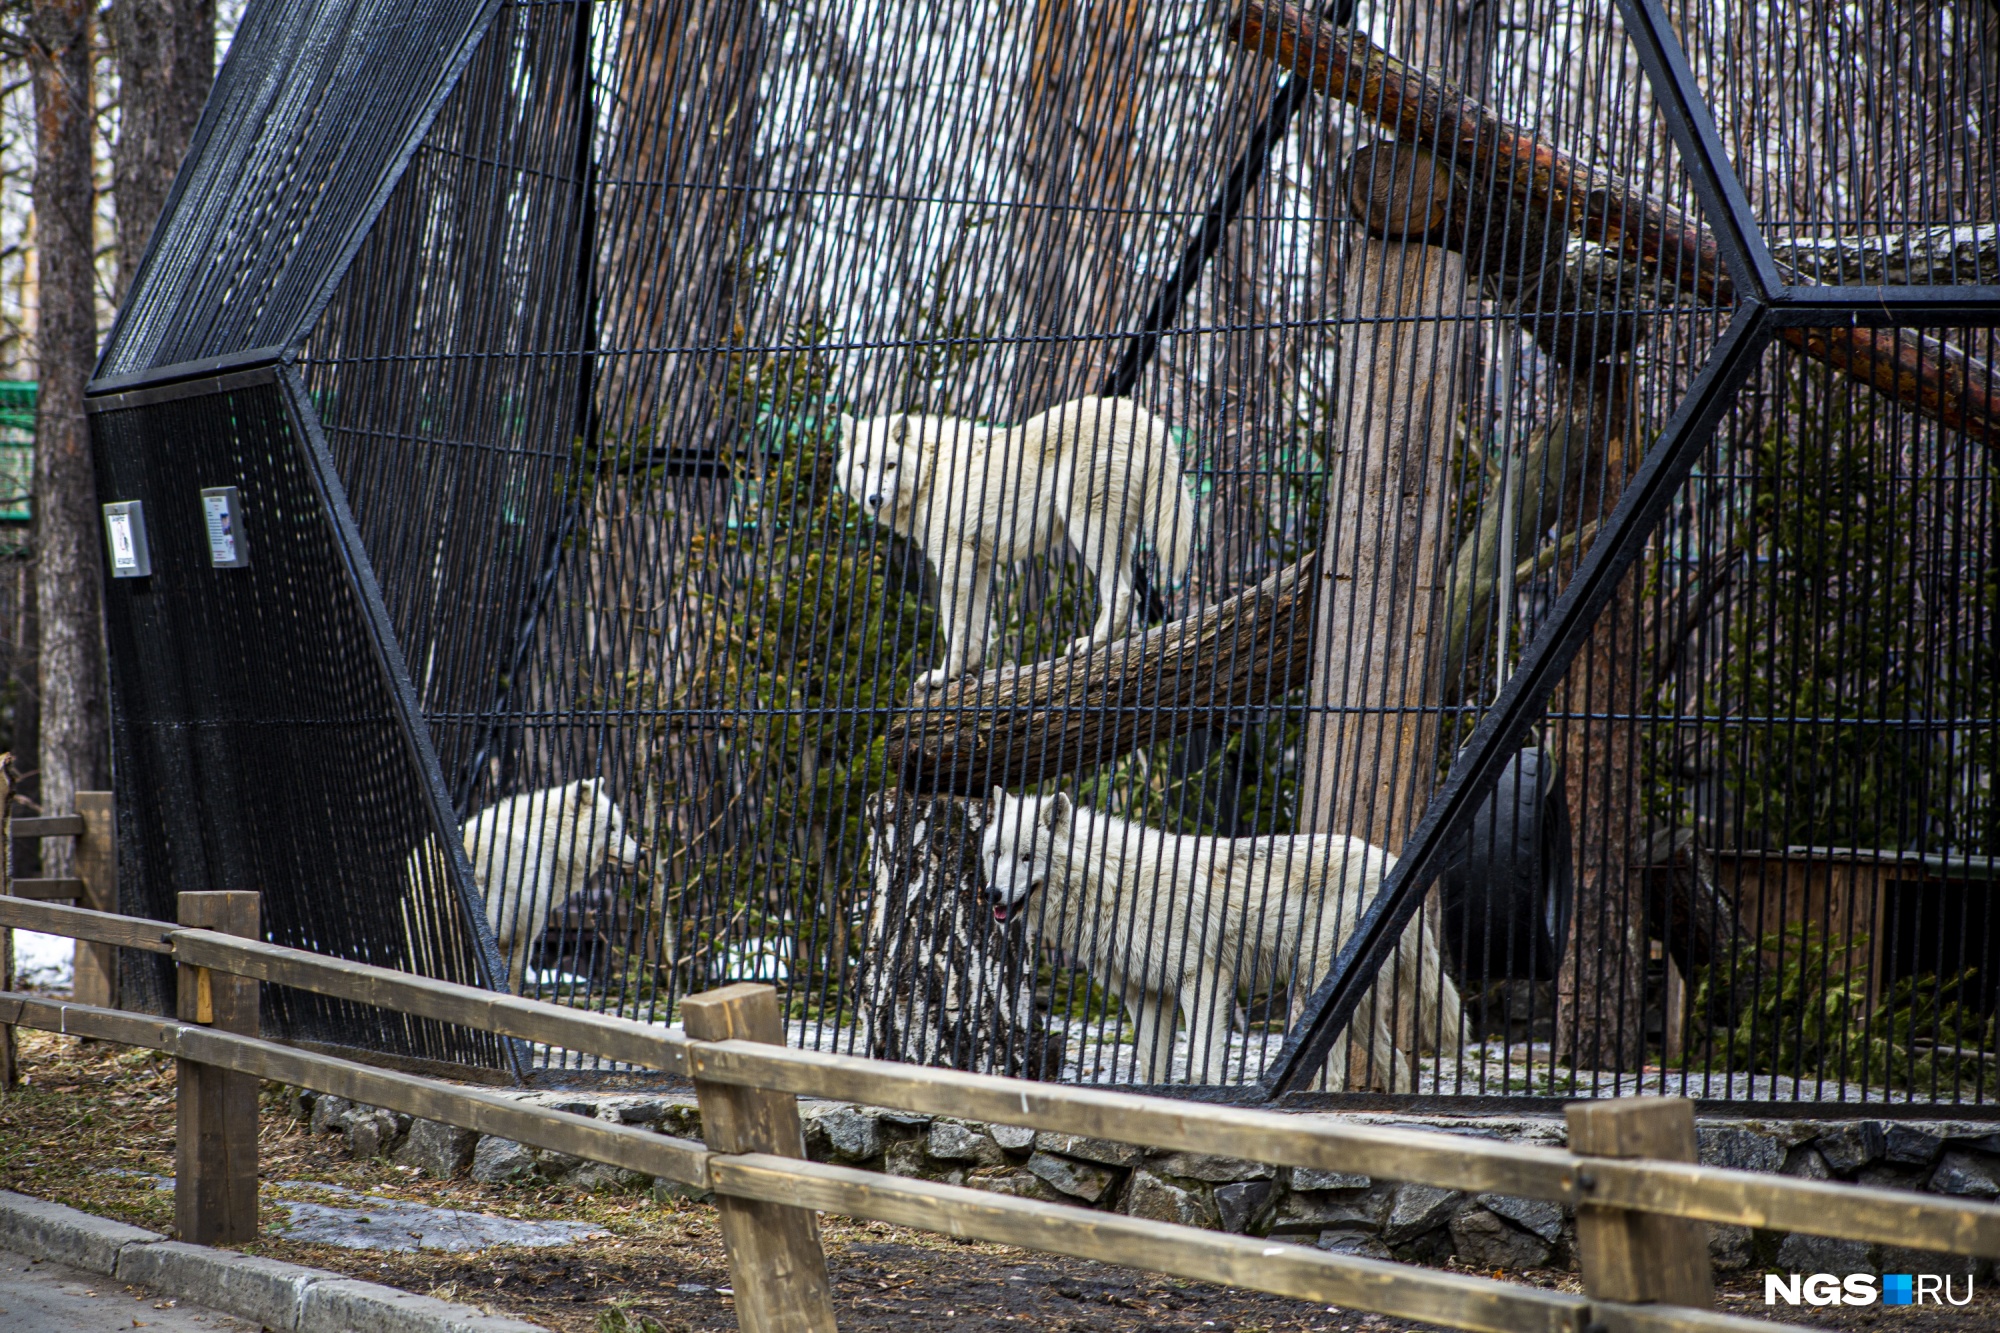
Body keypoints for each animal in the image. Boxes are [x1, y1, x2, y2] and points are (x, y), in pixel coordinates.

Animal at [836, 394, 1192, 684]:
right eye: (863, 465)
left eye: (890, 465)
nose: (874, 499)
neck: (931, 471)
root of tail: (1144, 417)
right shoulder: (978, 563)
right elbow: (978, 630)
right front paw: (967, 671)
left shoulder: (953, 560)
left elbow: (956, 627)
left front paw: (944, 675)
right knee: (1132, 597)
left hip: (1085, 526)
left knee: (1122, 593)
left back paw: (1090, 644)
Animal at [980, 788, 1464, 1080]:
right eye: (995, 854)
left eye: (1026, 857)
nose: (992, 894)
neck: (1114, 882)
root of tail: (1391, 860)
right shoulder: (1145, 993)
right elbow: (1150, 1064)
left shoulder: (1204, 979)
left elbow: (1200, 1066)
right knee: (1395, 1062)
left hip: (1316, 986)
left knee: (1338, 1070)